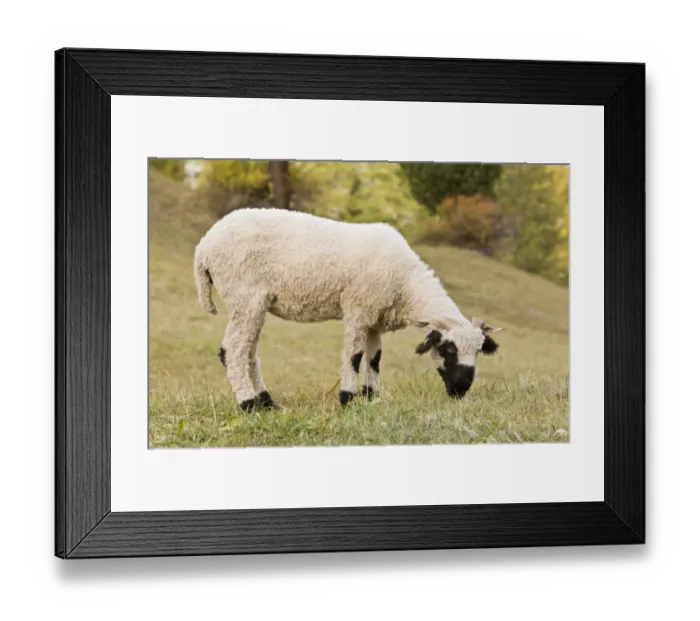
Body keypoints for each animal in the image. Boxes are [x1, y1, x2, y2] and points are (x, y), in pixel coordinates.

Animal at [194, 207, 503, 412]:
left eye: (479, 351)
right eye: (448, 350)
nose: (461, 390)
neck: (406, 285)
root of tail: (203, 248)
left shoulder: (375, 317)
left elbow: (374, 358)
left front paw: (371, 397)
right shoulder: (358, 308)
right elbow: (354, 356)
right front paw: (348, 399)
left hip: (253, 303)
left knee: (248, 352)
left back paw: (267, 403)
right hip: (244, 296)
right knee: (233, 351)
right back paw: (248, 404)